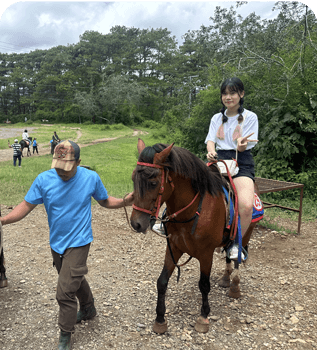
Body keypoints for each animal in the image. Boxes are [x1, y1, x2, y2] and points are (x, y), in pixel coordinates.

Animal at [130, 139, 258, 334]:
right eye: (133, 179)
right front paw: (160, 319)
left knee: (236, 256)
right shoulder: (173, 248)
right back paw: (226, 278)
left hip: (245, 234)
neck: (194, 210)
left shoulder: (206, 254)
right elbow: (162, 281)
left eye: (153, 182)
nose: (136, 223)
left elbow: (204, 285)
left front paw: (203, 317)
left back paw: (235, 285)